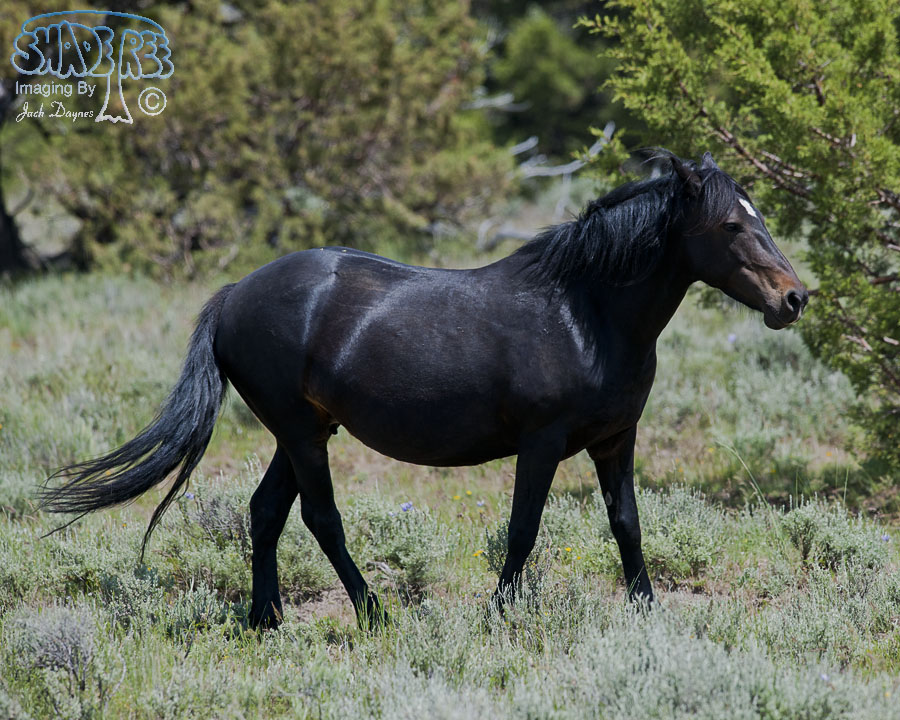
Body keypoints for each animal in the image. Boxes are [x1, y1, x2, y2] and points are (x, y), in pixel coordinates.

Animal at [41, 151, 808, 628]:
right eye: (730, 223)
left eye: (760, 216)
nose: (794, 298)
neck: (584, 310)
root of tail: (234, 292)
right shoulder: (542, 444)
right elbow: (523, 530)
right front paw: (499, 613)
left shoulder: (618, 441)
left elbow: (627, 524)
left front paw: (646, 611)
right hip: (299, 432)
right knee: (321, 518)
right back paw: (372, 612)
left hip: (302, 431)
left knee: (265, 512)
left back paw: (266, 620)